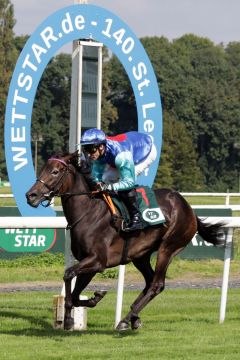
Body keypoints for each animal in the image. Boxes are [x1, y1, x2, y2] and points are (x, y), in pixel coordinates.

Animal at [25, 151, 222, 330]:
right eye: (42, 169)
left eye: (55, 171)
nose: (31, 195)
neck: (89, 213)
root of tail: (188, 207)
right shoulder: (89, 263)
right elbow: (74, 293)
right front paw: (94, 299)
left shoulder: (98, 261)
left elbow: (68, 275)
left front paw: (68, 320)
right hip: (140, 255)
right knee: (149, 281)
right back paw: (134, 317)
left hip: (169, 247)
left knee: (157, 284)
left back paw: (126, 319)